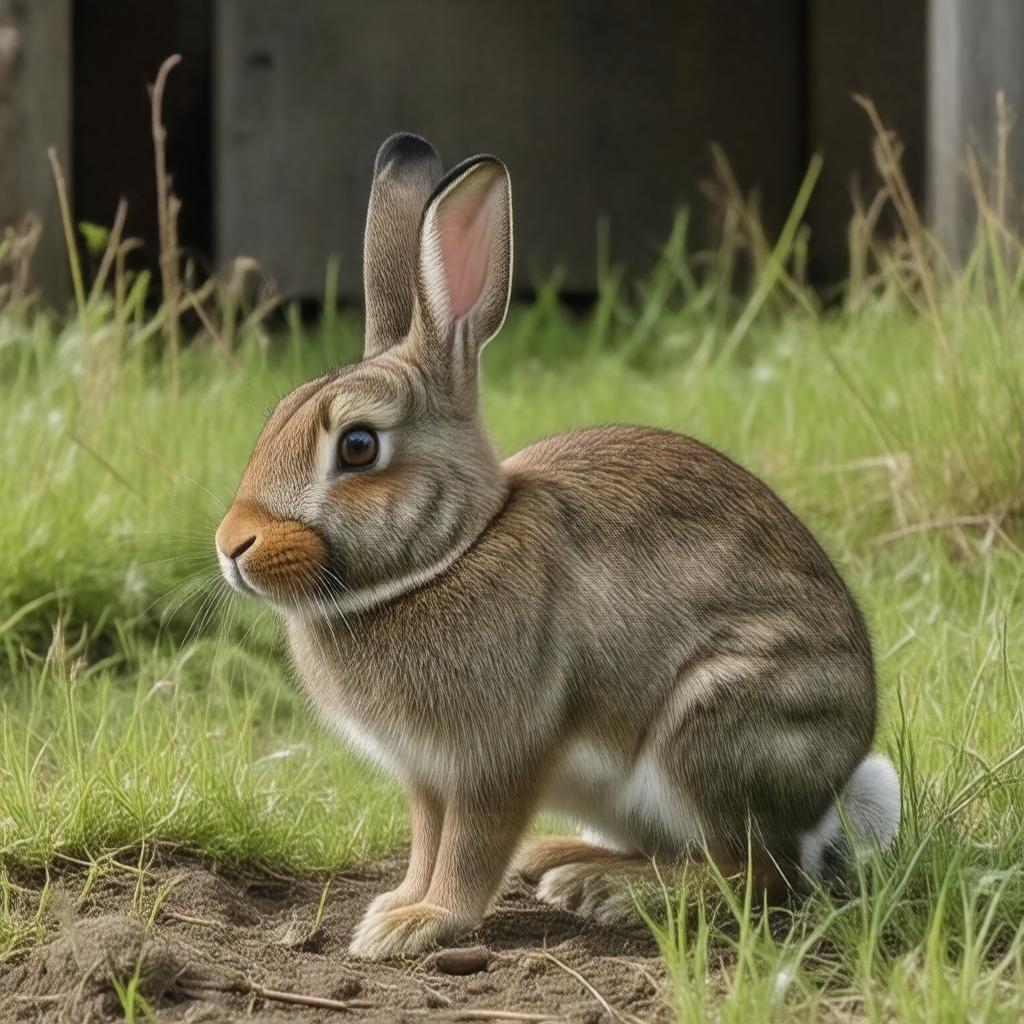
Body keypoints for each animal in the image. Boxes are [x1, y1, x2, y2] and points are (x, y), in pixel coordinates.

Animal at [215, 133, 900, 960]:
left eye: (357, 447)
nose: (231, 545)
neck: (453, 554)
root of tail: (833, 792)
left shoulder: (498, 760)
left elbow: (469, 848)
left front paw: (422, 923)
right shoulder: (426, 778)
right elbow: (426, 840)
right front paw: (397, 906)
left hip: (714, 727)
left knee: (759, 875)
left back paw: (610, 891)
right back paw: (563, 859)